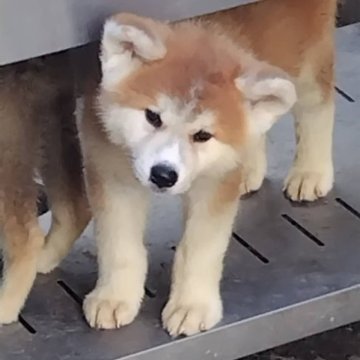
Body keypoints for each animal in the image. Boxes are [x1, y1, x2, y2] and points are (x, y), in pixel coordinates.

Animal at [78, 0, 338, 338]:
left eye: (202, 135)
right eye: (152, 117)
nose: (163, 174)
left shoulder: (213, 186)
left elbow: (199, 249)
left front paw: (191, 305)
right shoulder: (110, 168)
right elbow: (118, 244)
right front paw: (115, 296)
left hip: (305, 55)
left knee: (318, 103)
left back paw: (311, 171)